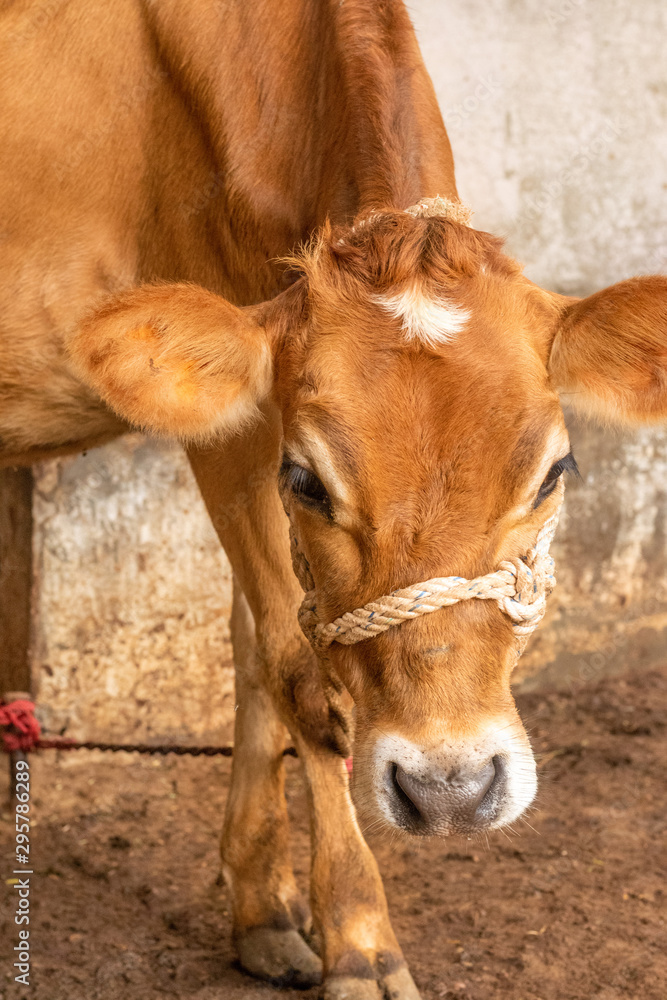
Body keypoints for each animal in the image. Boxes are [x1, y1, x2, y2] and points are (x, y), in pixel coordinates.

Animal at [1, 2, 666, 998]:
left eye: (555, 470)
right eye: (308, 479)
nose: (448, 789)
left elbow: (249, 648)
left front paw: (263, 909)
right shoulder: (236, 430)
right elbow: (298, 673)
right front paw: (360, 945)